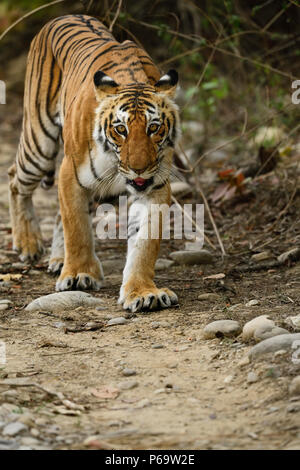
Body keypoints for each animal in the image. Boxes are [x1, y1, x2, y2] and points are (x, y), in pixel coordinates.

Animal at [8, 13, 180, 312]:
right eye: (120, 129)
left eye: (154, 128)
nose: (138, 168)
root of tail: (64, 15)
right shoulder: (70, 173)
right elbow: (77, 227)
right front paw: (79, 275)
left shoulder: (155, 185)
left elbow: (145, 242)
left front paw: (143, 292)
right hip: (38, 144)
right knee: (14, 178)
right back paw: (28, 244)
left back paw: (56, 259)